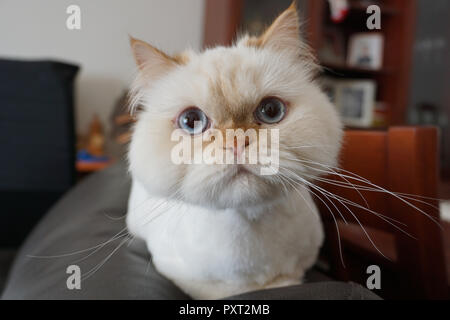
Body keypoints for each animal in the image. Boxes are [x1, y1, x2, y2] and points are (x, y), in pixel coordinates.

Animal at [125, 3, 342, 300]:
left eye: (271, 110)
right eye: (191, 121)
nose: (237, 142)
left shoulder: (302, 264)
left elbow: (288, 280)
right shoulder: (184, 276)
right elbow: (229, 291)